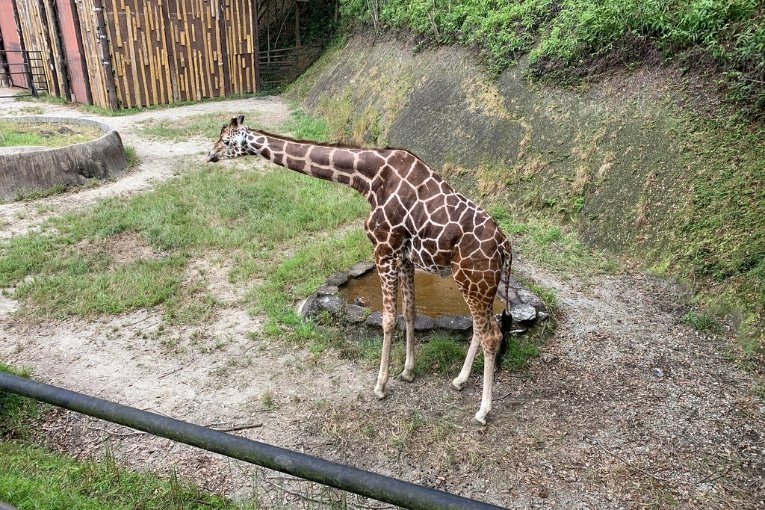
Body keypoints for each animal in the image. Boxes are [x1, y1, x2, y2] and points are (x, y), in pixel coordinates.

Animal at [207, 114, 512, 422]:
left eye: (227, 141)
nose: (210, 155)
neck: (367, 178)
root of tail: (504, 245)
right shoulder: (404, 257)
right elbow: (410, 312)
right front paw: (408, 372)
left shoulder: (383, 250)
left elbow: (389, 320)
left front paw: (380, 386)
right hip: (477, 283)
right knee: (480, 328)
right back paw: (459, 381)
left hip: (473, 280)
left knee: (491, 334)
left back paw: (483, 411)